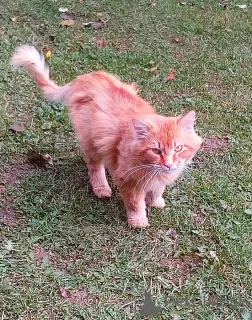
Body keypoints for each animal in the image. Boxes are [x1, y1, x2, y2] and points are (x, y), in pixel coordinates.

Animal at [10, 46, 203, 229]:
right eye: (156, 150)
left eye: (178, 148)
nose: (168, 164)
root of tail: (86, 77)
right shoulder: (129, 182)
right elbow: (135, 204)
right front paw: (138, 221)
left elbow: (157, 190)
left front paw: (155, 202)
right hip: (90, 142)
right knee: (95, 168)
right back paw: (102, 189)